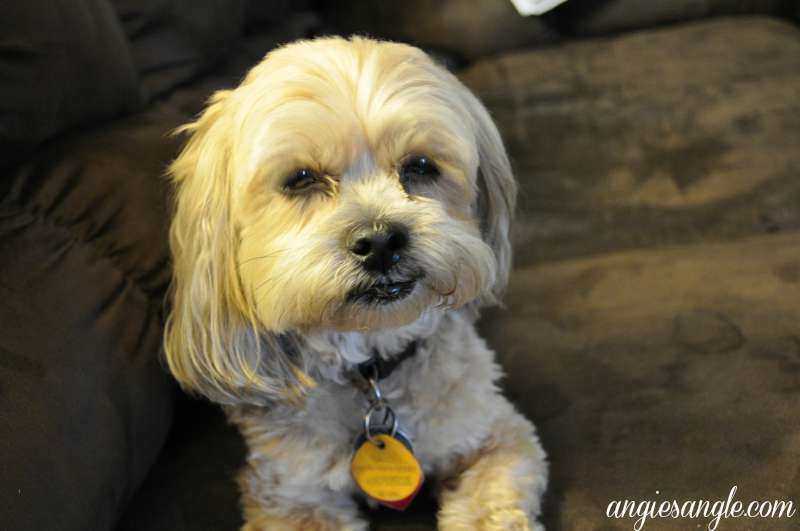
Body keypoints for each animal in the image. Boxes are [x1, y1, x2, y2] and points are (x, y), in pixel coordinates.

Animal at [165, 35, 548, 528]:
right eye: (301, 179)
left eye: (420, 166)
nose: (381, 241)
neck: (371, 371)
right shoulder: (288, 495)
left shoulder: (495, 435)